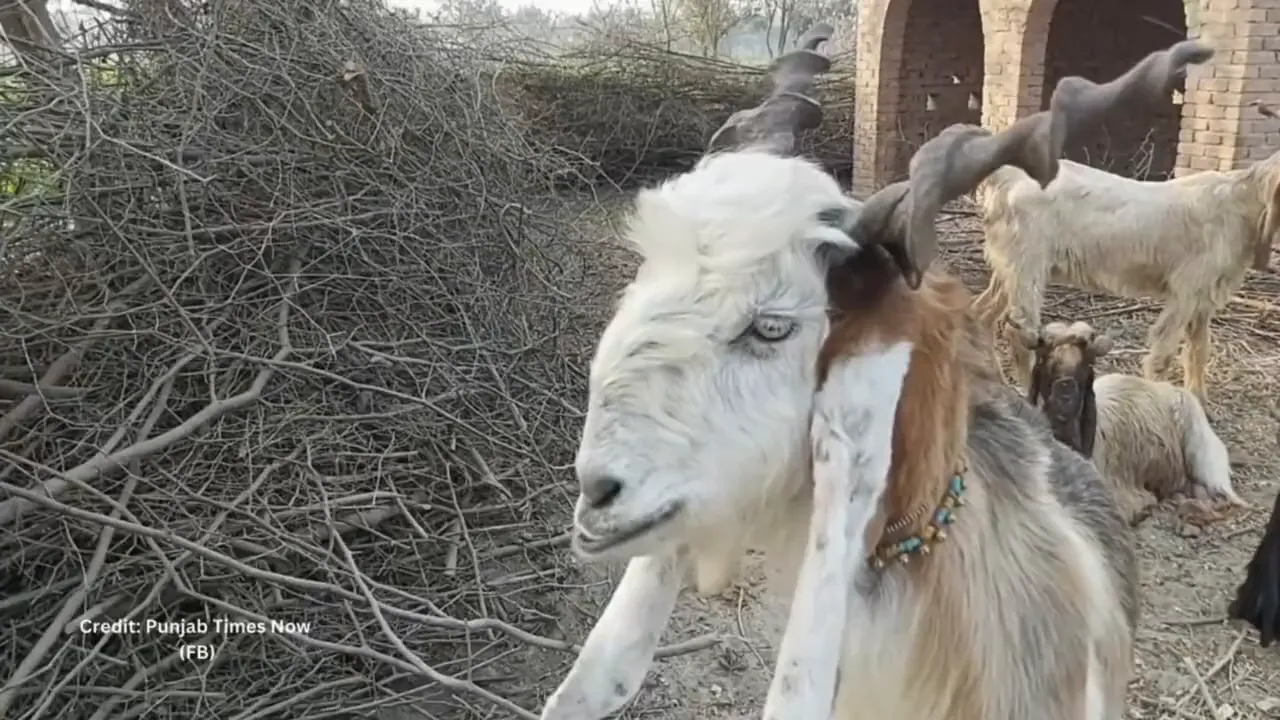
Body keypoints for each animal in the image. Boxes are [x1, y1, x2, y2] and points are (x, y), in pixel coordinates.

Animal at [972, 144, 1280, 406]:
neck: (1237, 204)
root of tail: (1006, 176)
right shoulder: (1186, 291)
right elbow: (1163, 354)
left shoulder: (1204, 295)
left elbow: (1199, 349)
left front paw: (1199, 401)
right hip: (1027, 265)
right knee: (1019, 333)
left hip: (1008, 266)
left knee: (983, 314)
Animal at [1027, 320, 1243, 525]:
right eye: (1043, 359)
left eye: (1088, 364)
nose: (1064, 395)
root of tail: (1159, 385)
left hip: (1201, 446)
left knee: (1224, 493)